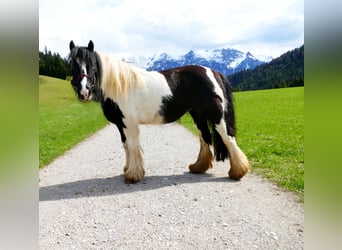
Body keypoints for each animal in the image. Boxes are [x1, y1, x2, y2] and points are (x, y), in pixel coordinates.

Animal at [68, 40, 250, 183]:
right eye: (73, 66)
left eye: (92, 64)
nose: (84, 91)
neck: (119, 86)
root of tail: (214, 72)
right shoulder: (121, 125)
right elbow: (126, 146)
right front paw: (127, 170)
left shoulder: (129, 124)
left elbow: (132, 146)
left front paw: (133, 175)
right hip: (198, 116)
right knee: (205, 138)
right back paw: (198, 167)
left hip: (216, 116)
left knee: (228, 138)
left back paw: (238, 172)